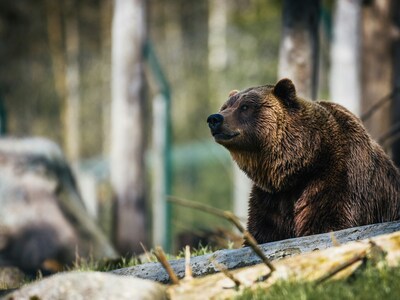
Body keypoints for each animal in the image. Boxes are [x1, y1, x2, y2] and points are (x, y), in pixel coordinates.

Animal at [208, 78, 400, 244]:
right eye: (225, 106)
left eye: (245, 106)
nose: (215, 118)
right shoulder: (272, 198)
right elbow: (263, 231)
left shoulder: (338, 176)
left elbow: (327, 222)